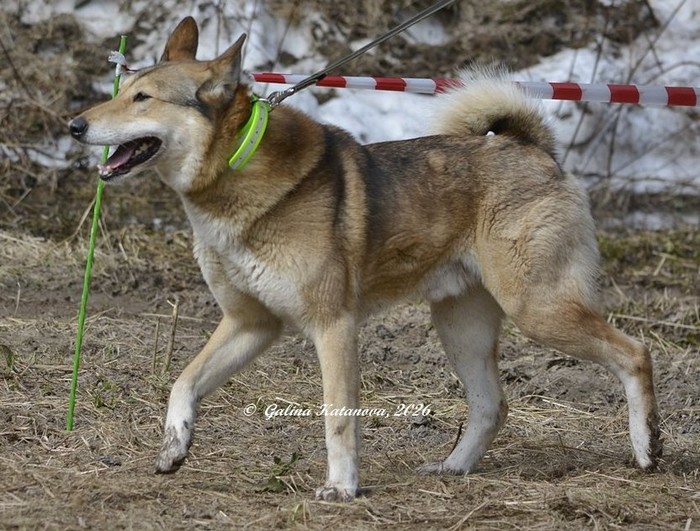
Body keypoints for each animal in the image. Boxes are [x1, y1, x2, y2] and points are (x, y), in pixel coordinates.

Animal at [69, 17, 661, 501]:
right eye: (125, 91)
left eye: (143, 98)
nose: (75, 125)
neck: (234, 169)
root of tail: (533, 150)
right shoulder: (250, 323)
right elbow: (184, 382)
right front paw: (174, 445)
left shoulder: (333, 326)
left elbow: (337, 418)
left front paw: (341, 487)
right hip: (462, 328)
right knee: (492, 405)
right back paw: (453, 468)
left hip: (538, 310)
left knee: (634, 353)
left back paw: (647, 445)